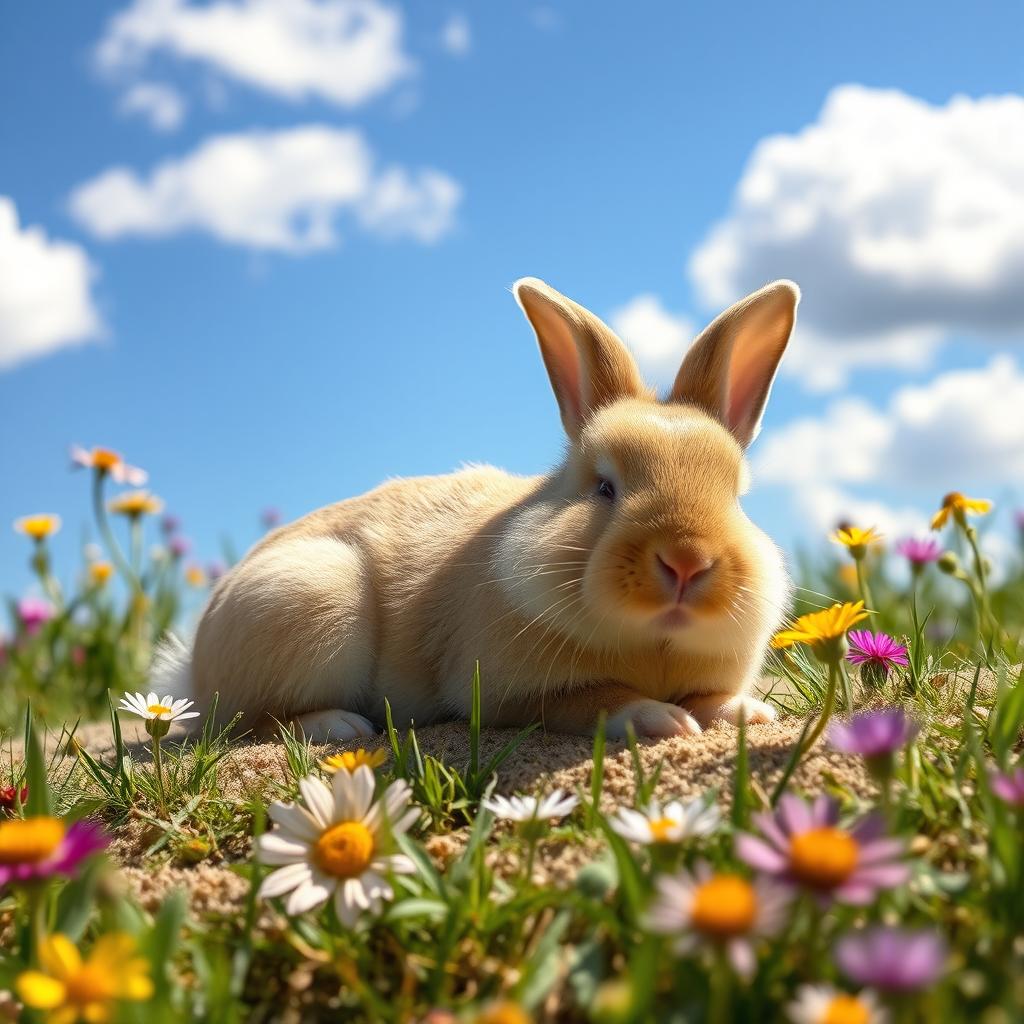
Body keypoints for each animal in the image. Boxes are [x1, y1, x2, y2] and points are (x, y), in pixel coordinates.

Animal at [176, 278, 798, 745]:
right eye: (603, 487)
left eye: (736, 496)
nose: (686, 562)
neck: (654, 642)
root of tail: (190, 667)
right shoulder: (515, 695)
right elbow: (597, 700)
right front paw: (658, 718)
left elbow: (710, 696)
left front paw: (747, 712)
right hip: (308, 601)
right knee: (252, 723)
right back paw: (341, 726)